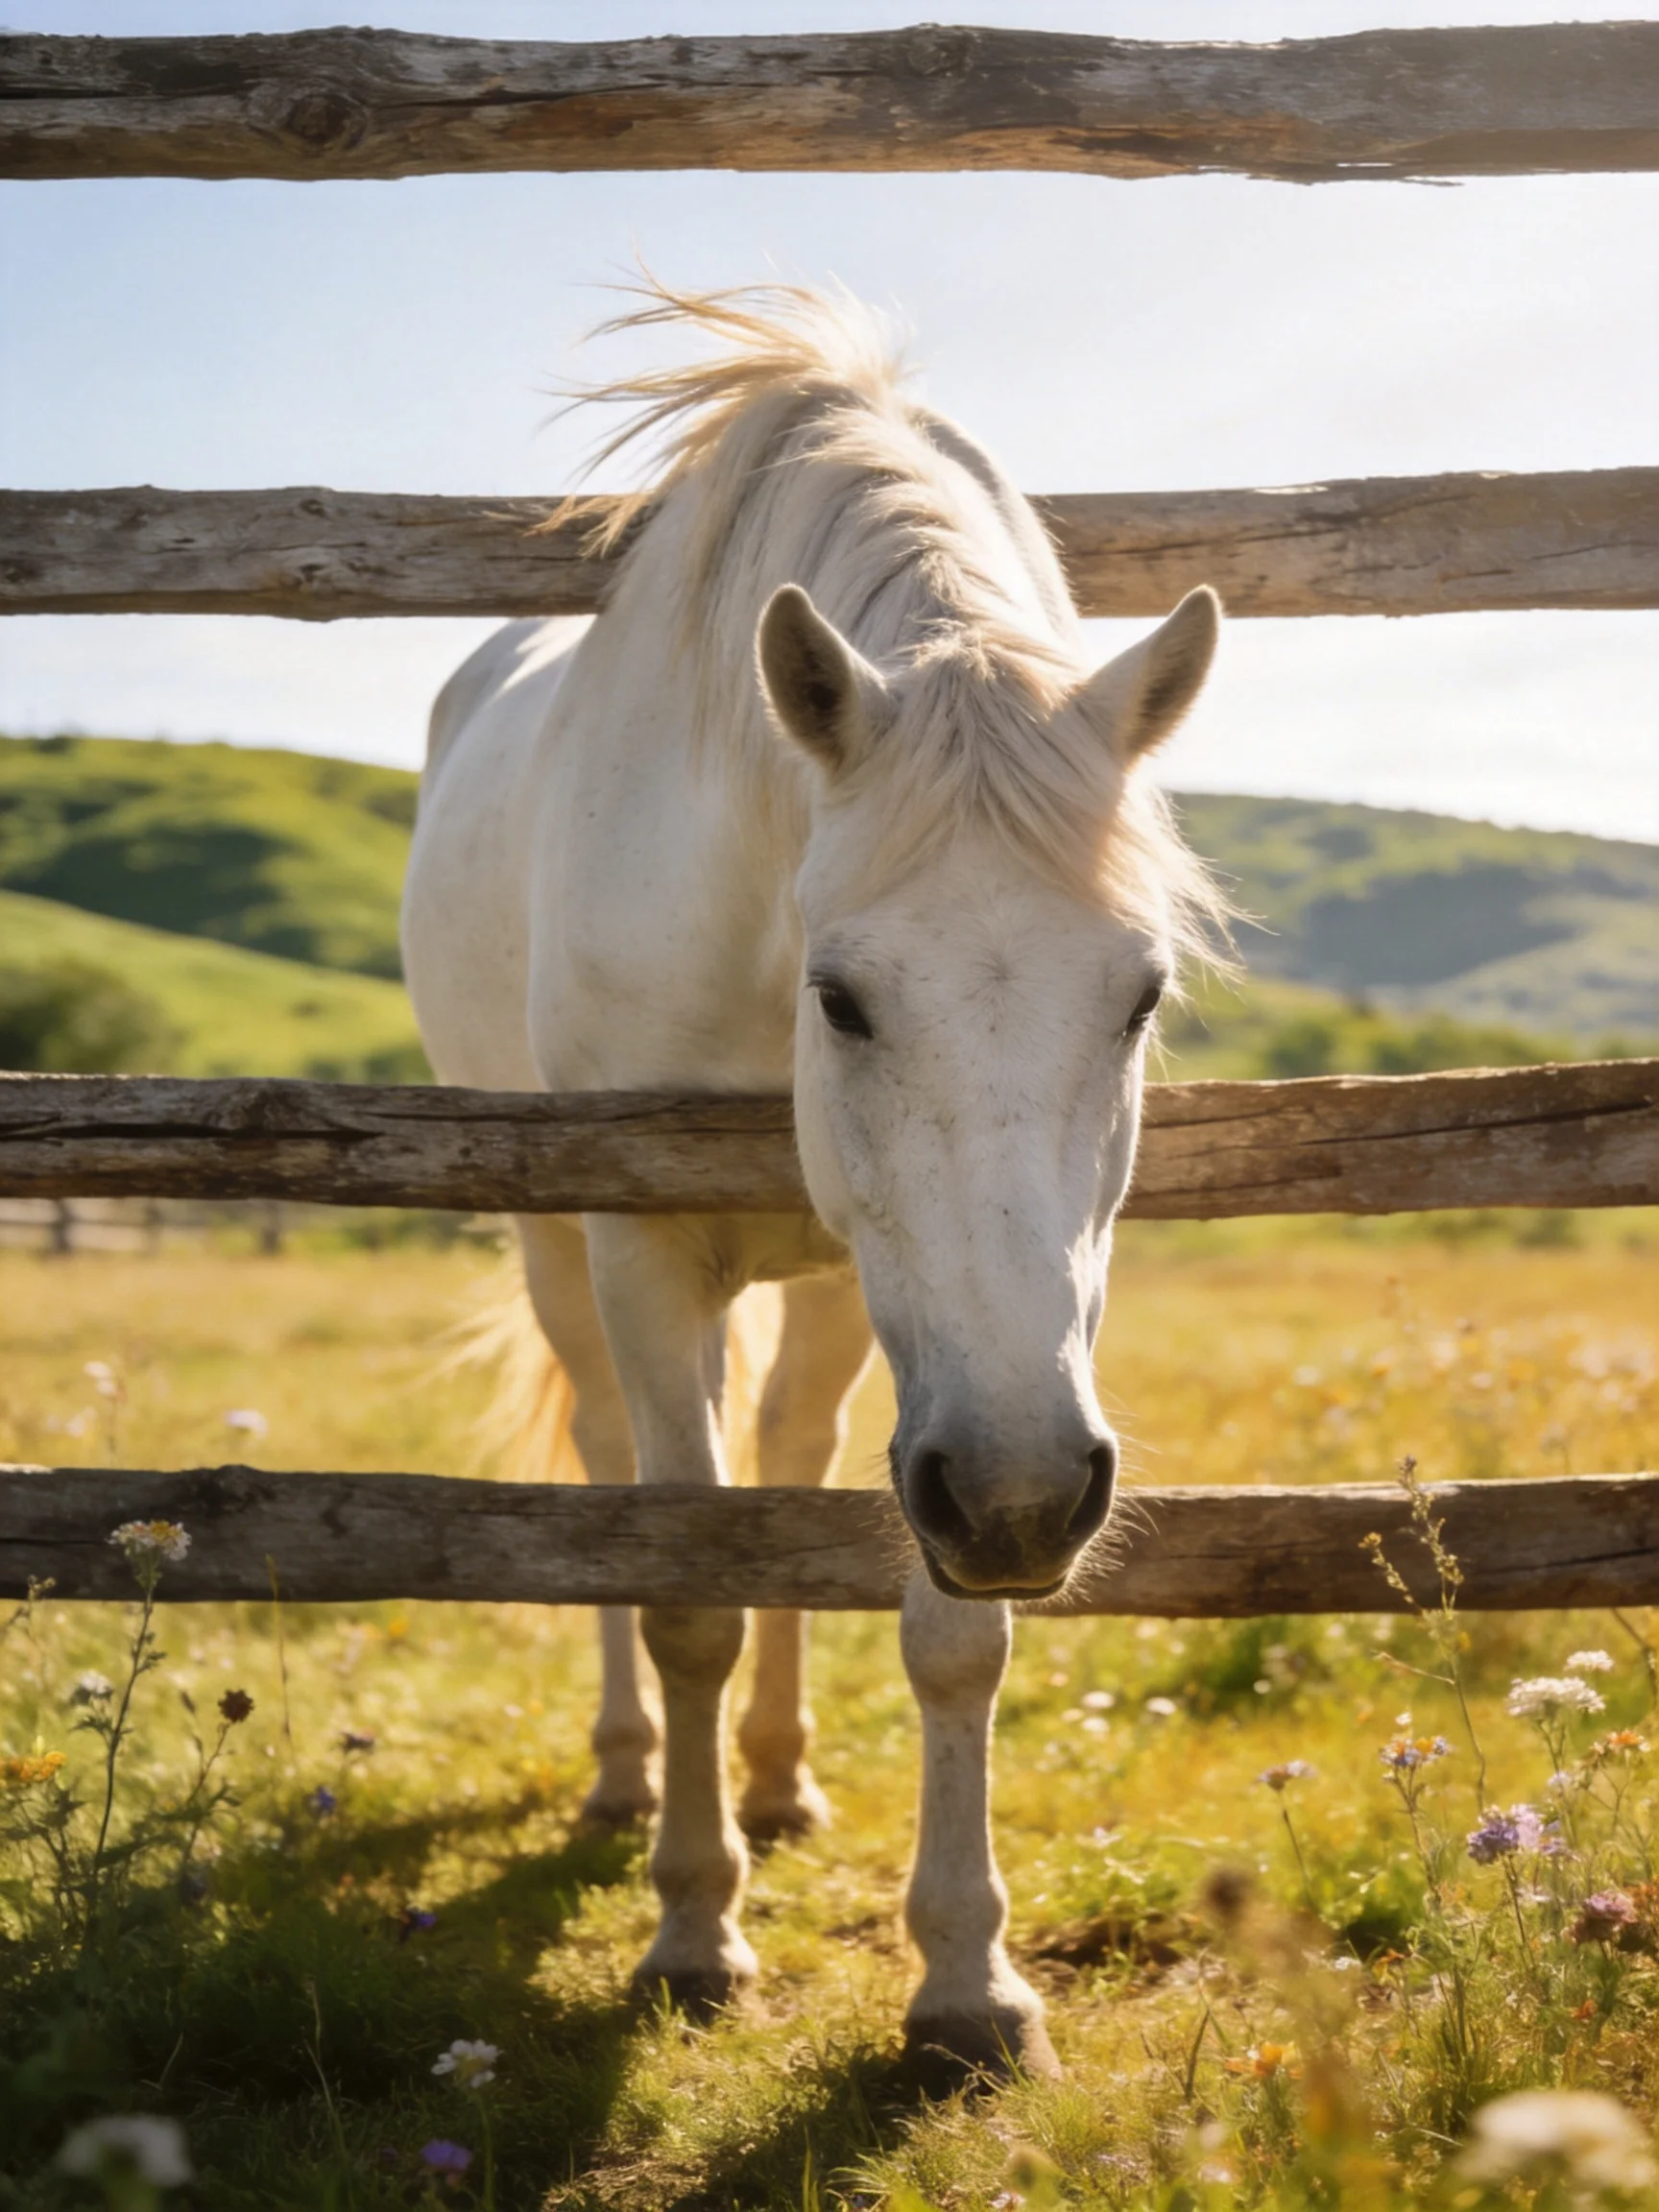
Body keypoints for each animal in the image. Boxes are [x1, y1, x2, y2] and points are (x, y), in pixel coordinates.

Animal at [401, 282, 1225, 2079]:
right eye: (843, 996)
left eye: (1137, 995)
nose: (1025, 1496)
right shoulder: (647, 1250)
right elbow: (687, 1591)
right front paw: (691, 1934)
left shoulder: (936, 1339)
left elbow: (946, 1628)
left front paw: (968, 1982)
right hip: (556, 1245)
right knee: (606, 1466)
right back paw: (631, 1773)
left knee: (790, 1454)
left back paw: (775, 1778)